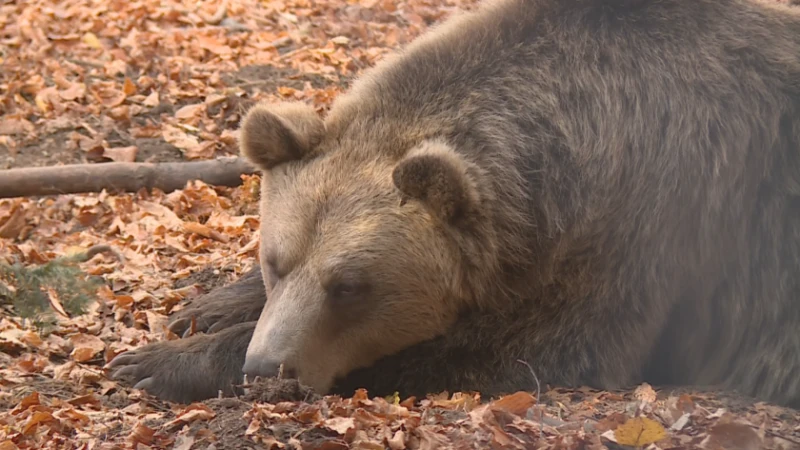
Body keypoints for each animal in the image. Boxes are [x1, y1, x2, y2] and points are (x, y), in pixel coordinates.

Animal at [109, 0, 800, 408]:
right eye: (274, 260)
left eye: (350, 287)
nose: (266, 367)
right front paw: (202, 310)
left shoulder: (648, 228)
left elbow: (520, 349)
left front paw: (152, 364)